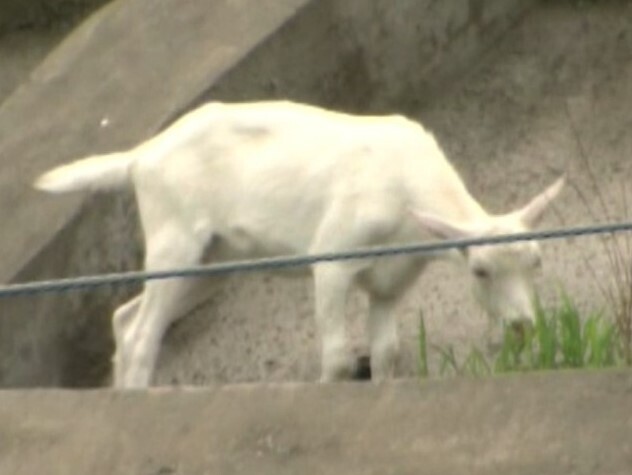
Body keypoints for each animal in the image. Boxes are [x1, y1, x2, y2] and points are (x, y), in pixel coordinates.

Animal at [34, 100, 564, 386]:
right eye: (480, 271)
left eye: (537, 263)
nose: (523, 326)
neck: (409, 189)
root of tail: (141, 157)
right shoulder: (333, 258)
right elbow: (338, 357)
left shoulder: (389, 283)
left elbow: (386, 352)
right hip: (175, 236)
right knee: (143, 334)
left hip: (212, 262)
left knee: (126, 320)